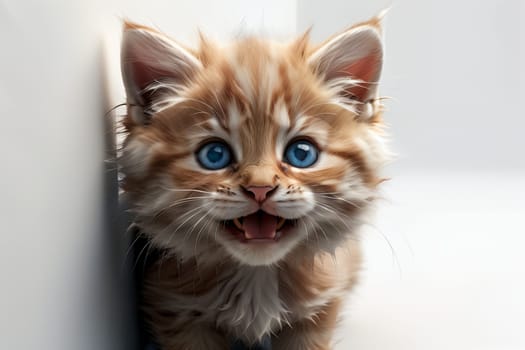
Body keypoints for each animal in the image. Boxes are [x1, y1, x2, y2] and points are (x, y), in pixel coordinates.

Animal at [118, 14, 388, 350]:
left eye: (301, 153)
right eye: (214, 154)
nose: (260, 189)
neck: (256, 277)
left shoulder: (318, 309)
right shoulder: (176, 308)